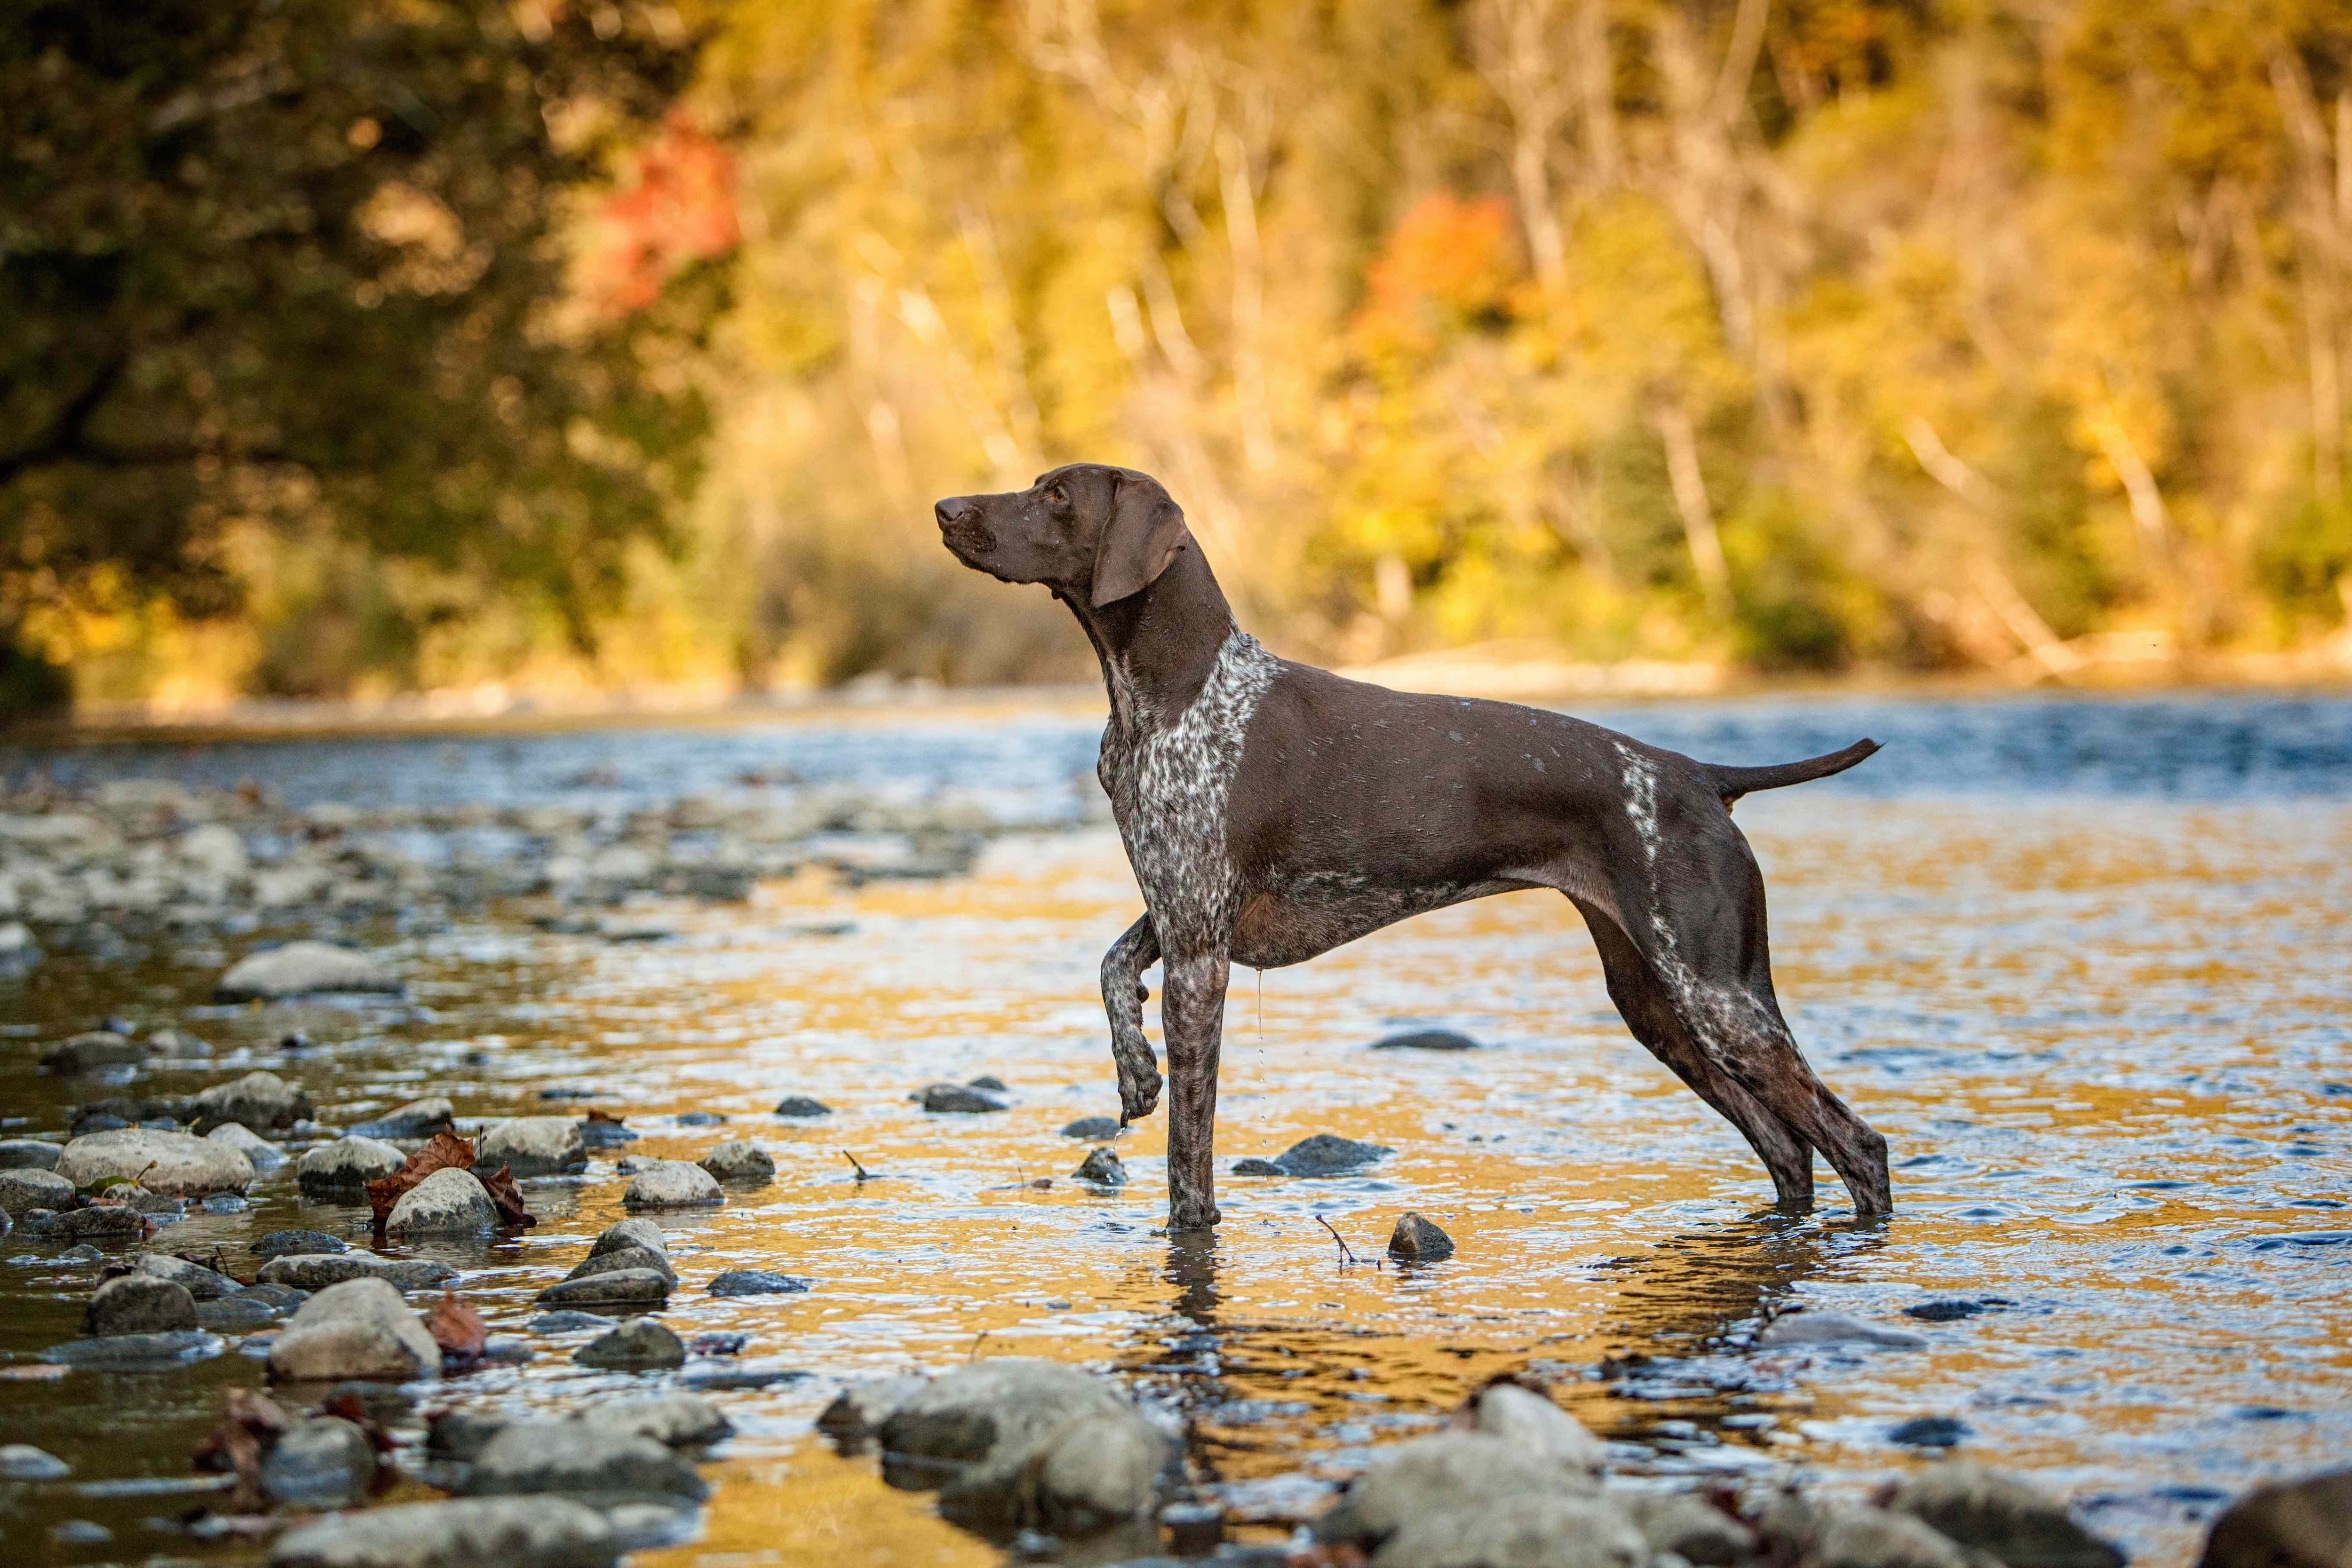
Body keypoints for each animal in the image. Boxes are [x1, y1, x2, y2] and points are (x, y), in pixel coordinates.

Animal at [936, 460, 1891, 1232]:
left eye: (1057, 495)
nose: (947, 508)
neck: (1173, 690)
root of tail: (1699, 773)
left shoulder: (1202, 949)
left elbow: (1190, 1149)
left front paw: (1188, 1216)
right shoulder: (1179, 911)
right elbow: (1109, 967)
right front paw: (1134, 1069)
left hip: (1717, 996)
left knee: (1857, 1143)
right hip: (1660, 1003)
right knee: (1790, 1151)